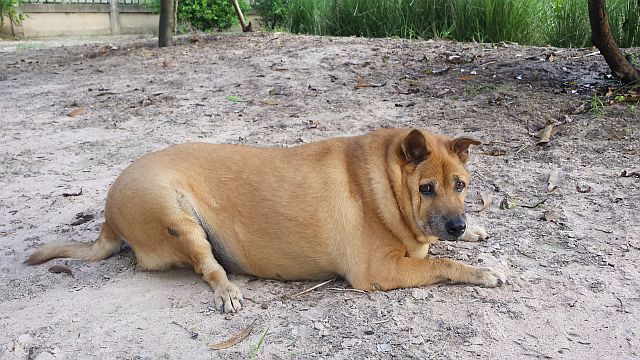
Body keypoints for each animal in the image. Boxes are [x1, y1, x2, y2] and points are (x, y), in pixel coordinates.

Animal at [27, 129, 504, 312]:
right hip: (179, 219)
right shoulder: (379, 271)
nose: (457, 226)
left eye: (461, 185)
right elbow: (442, 262)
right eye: (426, 188)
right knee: (209, 267)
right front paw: (482, 271)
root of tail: (108, 216)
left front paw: (476, 231)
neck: (385, 182)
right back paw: (227, 291)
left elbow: (440, 250)